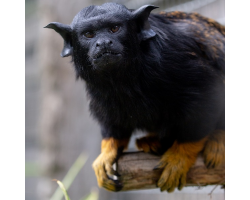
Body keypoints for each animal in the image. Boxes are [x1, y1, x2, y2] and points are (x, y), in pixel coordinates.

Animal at [44, 1, 225, 192]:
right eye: (89, 34)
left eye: (114, 29)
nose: (103, 43)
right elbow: (112, 118)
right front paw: (109, 149)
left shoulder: (177, 59)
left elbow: (207, 99)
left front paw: (180, 156)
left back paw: (218, 138)